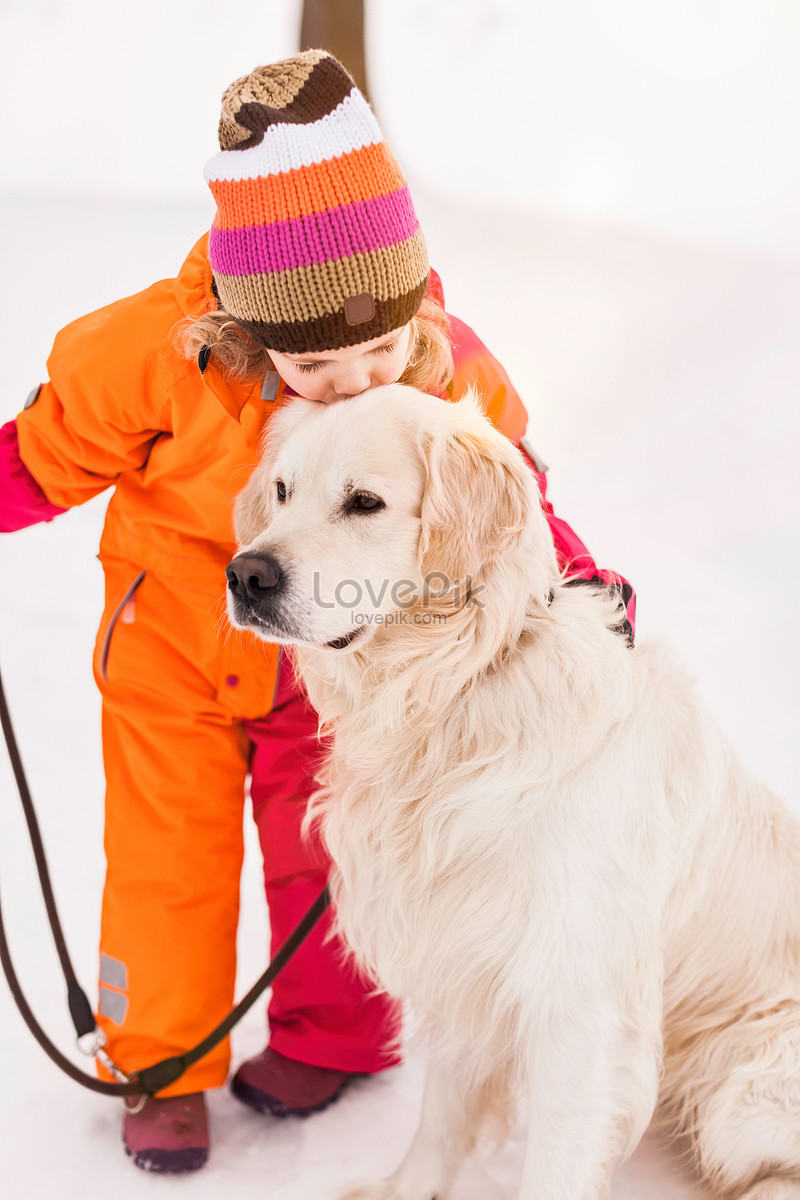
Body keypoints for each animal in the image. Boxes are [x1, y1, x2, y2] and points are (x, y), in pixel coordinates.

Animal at [224, 386, 800, 1200]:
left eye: (365, 502)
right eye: (281, 491)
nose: (245, 575)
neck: (456, 692)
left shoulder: (577, 1001)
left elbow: (557, 1160)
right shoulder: (459, 951)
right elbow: (440, 1117)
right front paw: (407, 1190)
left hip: (746, 1094)